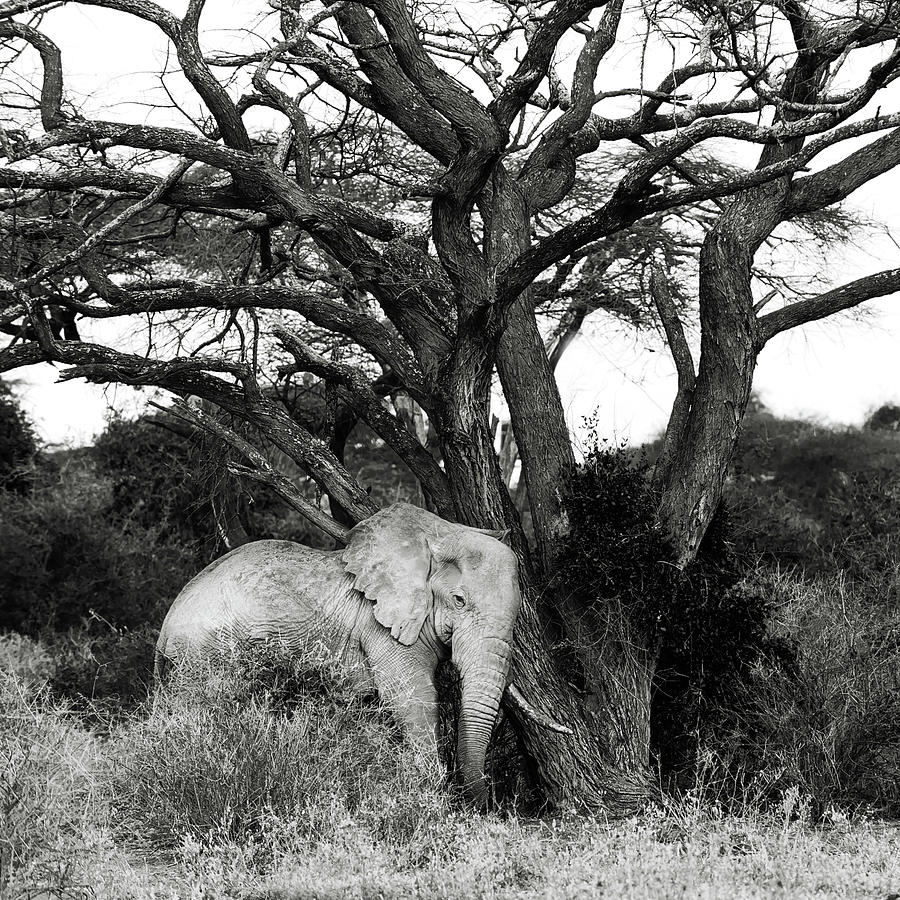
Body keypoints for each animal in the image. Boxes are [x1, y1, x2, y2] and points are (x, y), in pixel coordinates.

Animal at [157, 500, 560, 800]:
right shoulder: (379, 627)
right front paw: (432, 797)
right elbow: (413, 695)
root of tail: (165, 628)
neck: (438, 533)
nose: (484, 804)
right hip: (203, 655)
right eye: (459, 601)